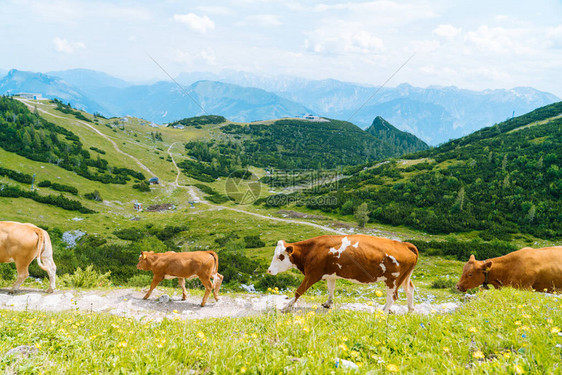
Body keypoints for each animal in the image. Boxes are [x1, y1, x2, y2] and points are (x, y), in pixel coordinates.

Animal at [266, 235, 416, 314]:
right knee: (409, 290)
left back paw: (384, 312)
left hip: (392, 279)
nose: (269, 270)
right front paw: (328, 303)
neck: (312, 250)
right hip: (404, 278)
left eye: (280, 256)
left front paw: (287, 306)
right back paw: (409, 309)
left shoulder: (312, 274)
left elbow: (299, 291)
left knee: (393, 297)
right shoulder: (330, 274)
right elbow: (331, 289)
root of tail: (404, 244)